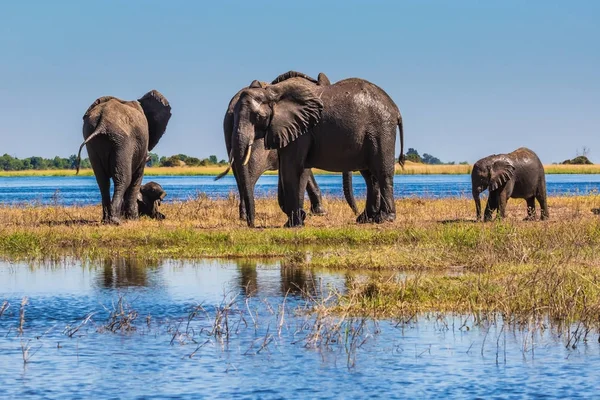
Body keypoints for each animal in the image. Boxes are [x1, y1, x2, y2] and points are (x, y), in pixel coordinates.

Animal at [76, 88, 172, 223]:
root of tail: (103, 121)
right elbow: (137, 176)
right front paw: (133, 219)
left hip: (92, 137)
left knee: (102, 181)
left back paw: (106, 220)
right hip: (123, 142)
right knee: (123, 179)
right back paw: (115, 221)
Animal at [232, 74, 406, 225]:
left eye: (258, 117)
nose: (252, 224)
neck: (272, 92)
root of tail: (396, 109)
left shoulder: (302, 130)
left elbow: (291, 168)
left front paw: (293, 223)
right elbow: (292, 170)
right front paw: (296, 220)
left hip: (381, 129)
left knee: (382, 172)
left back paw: (385, 218)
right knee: (370, 176)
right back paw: (365, 219)